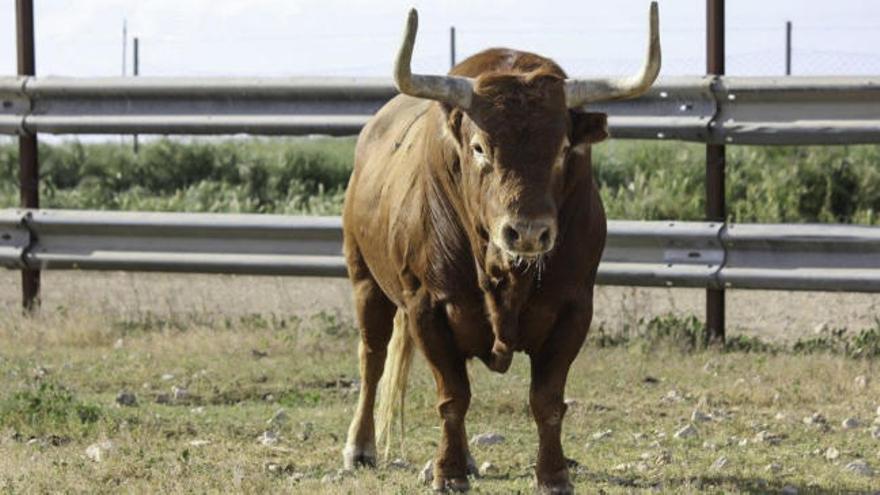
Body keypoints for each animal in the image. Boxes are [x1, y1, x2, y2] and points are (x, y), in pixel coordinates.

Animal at [344, 3, 660, 492]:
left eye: (563, 148)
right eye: (479, 148)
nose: (527, 232)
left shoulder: (575, 309)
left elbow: (547, 400)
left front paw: (553, 474)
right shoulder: (425, 307)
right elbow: (453, 396)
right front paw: (449, 471)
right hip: (364, 278)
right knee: (372, 358)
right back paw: (360, 447)